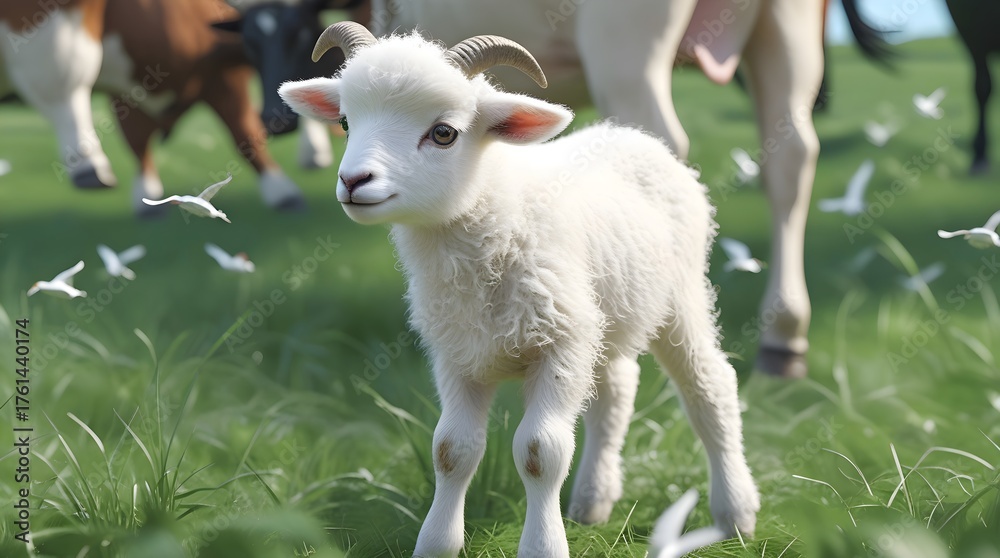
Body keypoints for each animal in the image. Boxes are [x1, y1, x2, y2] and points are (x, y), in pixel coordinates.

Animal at [0, 0, 307, 215]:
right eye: (252, 44)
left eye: (298, 37)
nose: (279, 120)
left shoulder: (224, 77)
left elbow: (245, 133)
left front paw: (283, 191)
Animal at [279, 22, 759, 558]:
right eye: (344, 122)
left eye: (443, 133)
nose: (353, 180)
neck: (500, 211)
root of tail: (631, 135)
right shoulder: (457, 353)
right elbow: (451, 450)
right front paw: (437, 543)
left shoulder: (560, 345)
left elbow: (539, 451)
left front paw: (543, 545)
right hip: (602, 316)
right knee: (615, 390)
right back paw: (593, 501)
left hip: (679, 295)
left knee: (710, 388)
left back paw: (735, 512)